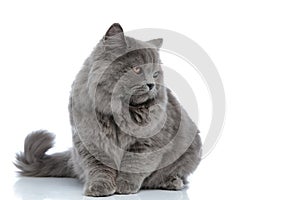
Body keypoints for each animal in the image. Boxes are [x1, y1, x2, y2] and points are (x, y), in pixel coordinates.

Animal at [14, 23, 202, 197]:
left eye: (155, 74)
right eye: (137, 69)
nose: (151, 84)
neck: (118, 111)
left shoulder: (148, 142)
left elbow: (134, 164)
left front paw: (124, 186)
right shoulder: (90, 141)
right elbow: (100, 169)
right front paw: (99, 187)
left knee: (172, 175)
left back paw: (172, 182)